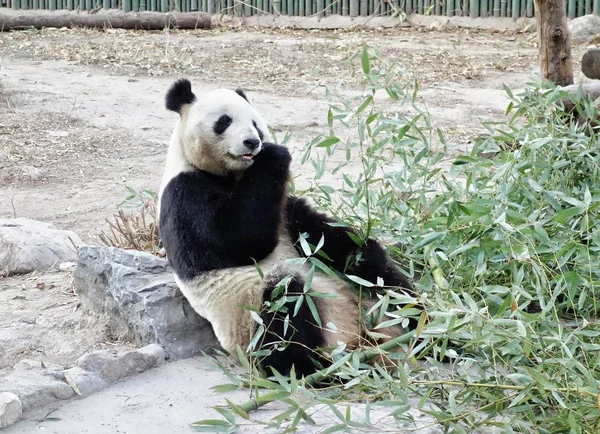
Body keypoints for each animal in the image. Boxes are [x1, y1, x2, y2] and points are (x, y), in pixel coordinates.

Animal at [156, 79, 418, 378]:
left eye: (255, 123)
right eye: (224, 121)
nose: (253, 142)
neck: (231, 174)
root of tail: (356, 339)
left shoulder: (284, 204)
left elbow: (318, 234)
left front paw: (361, 254)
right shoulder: (183, 192)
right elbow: (232, 241)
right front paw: (273, 155)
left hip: (365, 300)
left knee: (389, 286)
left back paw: (424, 327)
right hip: (248, 316)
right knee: (284, 308)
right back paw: (311, 369)